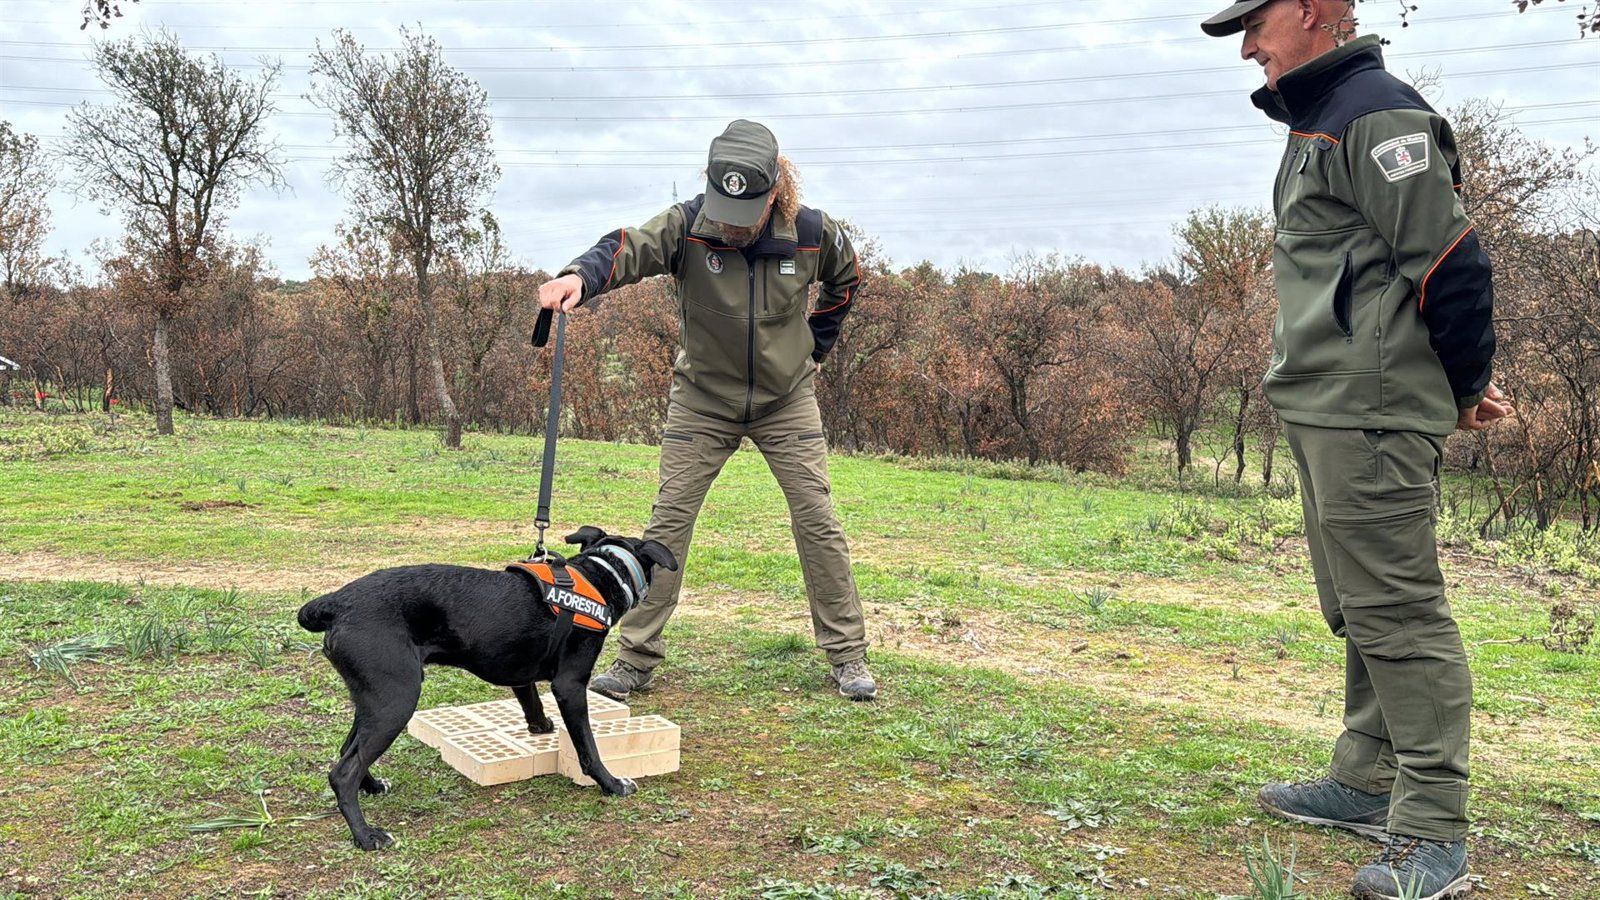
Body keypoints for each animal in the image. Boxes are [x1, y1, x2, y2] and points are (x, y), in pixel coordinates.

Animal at [299, 522, 675, 845]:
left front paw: (541, 727)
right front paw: (611, 784)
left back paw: (374, 786)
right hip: (396, 700)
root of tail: (336, 603)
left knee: (347, 749)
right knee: (343, 772)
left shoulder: (521, 676)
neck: (600, 573)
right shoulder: (570, 686)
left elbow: (532, 703)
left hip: (374, 698)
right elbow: (588, 747)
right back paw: (366, 836)